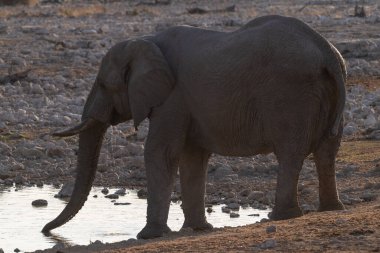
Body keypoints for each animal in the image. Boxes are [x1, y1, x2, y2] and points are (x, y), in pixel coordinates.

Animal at [43, 14, 346, 238]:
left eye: (104, 85)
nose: (45, 230)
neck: (146, 42)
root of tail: (327, 51)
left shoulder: (172, 97)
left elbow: (160, 152)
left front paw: (149, 235)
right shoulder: (184, 104)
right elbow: (192, 157)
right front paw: (197, 229)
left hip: (291, 94)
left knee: (290, 153)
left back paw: (282, 216)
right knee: (327, 151)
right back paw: (331, 208)